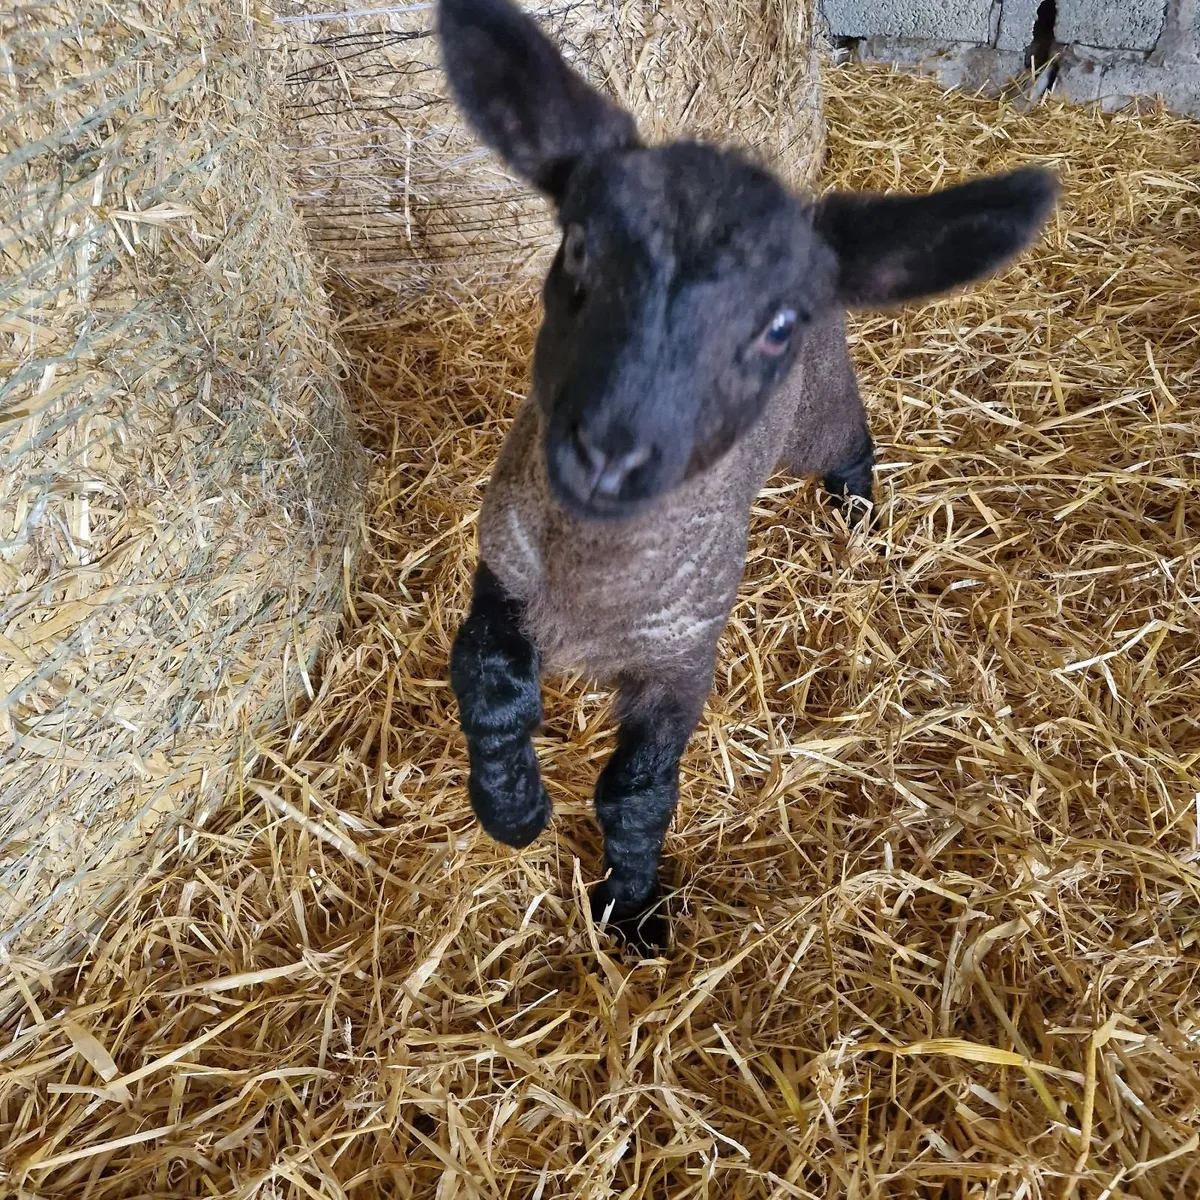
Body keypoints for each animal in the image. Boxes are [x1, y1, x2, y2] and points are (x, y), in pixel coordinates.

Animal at [438, 0, 1057, 950]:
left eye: (775, 325)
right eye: (575, 248)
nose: (608, 453)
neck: (592, 590)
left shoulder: (683, 657)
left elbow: (636, 794)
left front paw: (630, 913)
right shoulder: (502, 562)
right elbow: (487, 681)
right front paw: (513, 811)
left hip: (815, 413)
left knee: (850, 439)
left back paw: (858, 516)